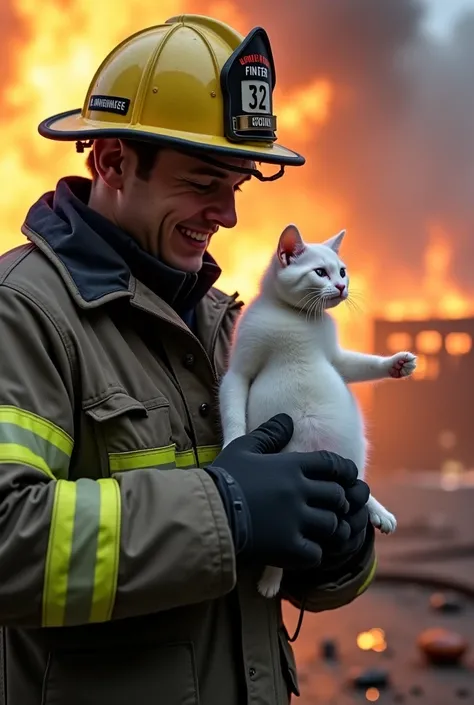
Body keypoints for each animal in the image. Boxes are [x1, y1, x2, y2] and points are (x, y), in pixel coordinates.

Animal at [218, 223, 414, 596]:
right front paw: (232, 447)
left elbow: (362, 365)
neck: (299, 318)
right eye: (320, 272)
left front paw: (396, 364)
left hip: (355, 455)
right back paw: (271, 578)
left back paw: (378, 511)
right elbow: (233, 411)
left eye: (342, 271)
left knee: (361, 486)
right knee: (287, 544)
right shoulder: (239, 370)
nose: (340, 286)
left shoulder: (337, 359)